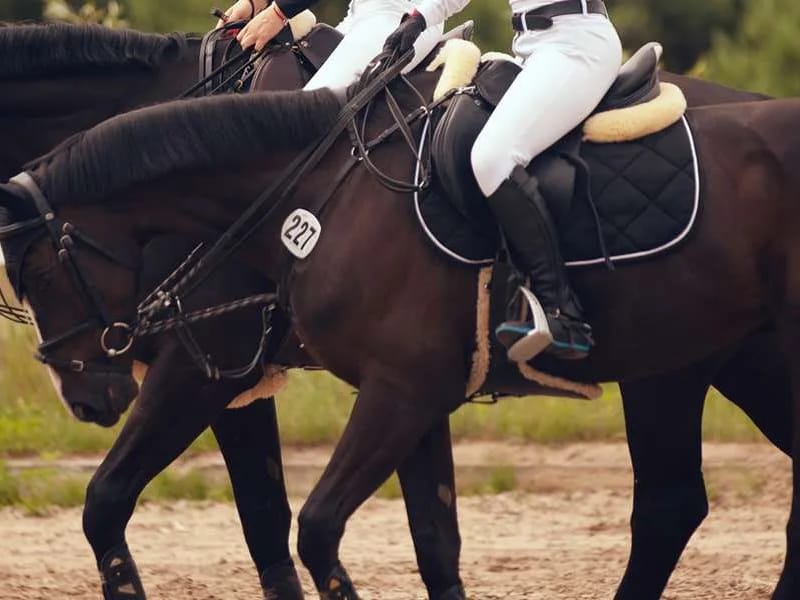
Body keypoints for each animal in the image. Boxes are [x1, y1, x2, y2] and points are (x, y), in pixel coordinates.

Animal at [2, 49, 798, 600]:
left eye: (36, 271)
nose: (85, 394)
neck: (319, 190)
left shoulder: (377, 390)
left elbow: (307, 527)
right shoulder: (405, 395)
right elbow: (423, 538)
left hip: (683, 367)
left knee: (670, 505)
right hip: (724, 361)